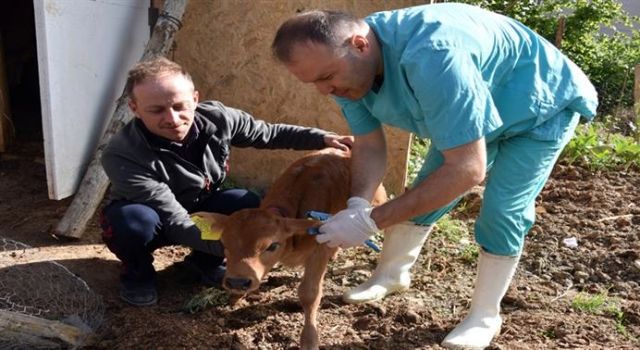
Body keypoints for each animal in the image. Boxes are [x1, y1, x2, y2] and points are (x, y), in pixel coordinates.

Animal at [194, 148, 384, 350]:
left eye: (272, 245)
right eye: (224, 243)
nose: (238, 282)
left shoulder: (319, 249)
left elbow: (309, 294)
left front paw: (309, 339)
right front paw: (236, 296)